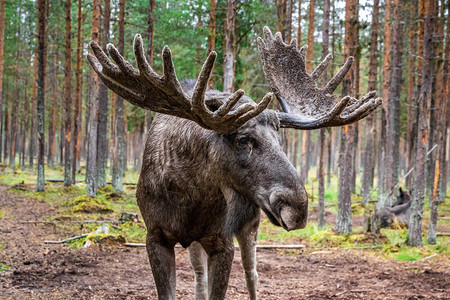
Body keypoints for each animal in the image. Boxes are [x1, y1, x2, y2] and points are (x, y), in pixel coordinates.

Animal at [87, 27, 380, 298]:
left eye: (279, 138)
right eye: (243, 139)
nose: (298, 208)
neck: (188, 195)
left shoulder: (222, 241)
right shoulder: (156, 237)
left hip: (250, 227)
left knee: (252, 274)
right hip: (196, 244)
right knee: (199, 276)